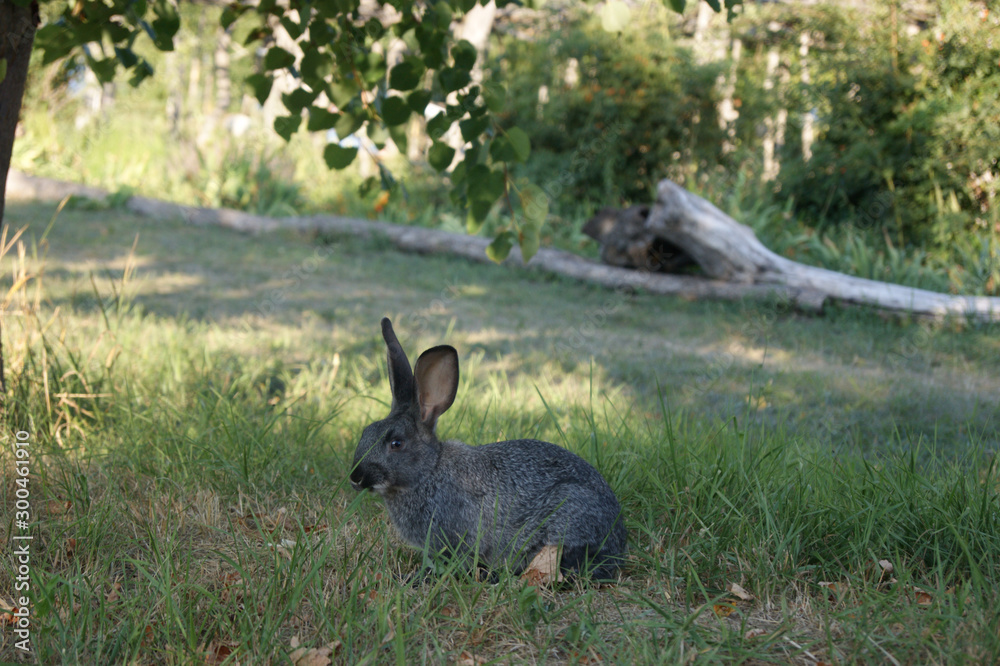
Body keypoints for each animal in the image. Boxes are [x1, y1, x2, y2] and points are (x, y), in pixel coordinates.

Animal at [349, 318, 626, 581]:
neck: (429, 471)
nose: (356, 477)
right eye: (366, 431)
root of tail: (617, 538)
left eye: (396, 443)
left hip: (566, 516)